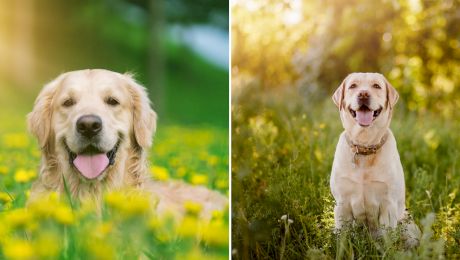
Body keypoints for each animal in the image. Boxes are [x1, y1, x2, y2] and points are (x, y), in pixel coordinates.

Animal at [330, 72, 420, 246]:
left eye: (376, 86)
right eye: (353, 86)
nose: (363, 94)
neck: (365, 147)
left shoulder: (388, 206)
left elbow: (388, 241)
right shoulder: (342, 205)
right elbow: (342, 241)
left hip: (409, 227)